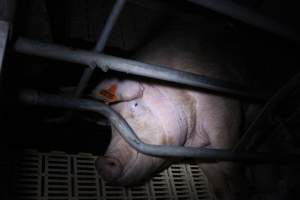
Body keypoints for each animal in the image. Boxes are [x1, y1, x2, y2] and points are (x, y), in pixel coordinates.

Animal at [91, 19, 246, 200]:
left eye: (135, 105)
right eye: (111, 126)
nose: (101, 163)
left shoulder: (224, 116)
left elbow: (230, 164)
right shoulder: (202, 152)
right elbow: (219, 182)